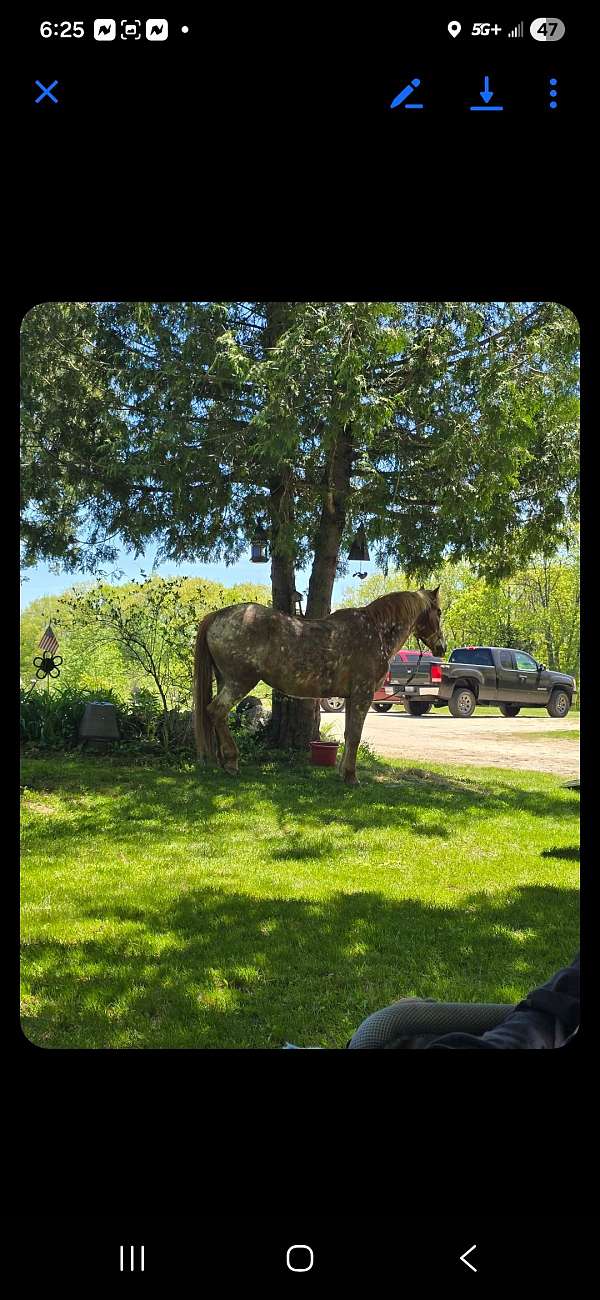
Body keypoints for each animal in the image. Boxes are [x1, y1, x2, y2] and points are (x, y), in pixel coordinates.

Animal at [193, 587, 446, 785]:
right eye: (439, 612)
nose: (442, 647)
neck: (376, 630)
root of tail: (218, 615)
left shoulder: (351, 698)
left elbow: (348, 734)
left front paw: (343, 772)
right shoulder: (362, 695)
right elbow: (355, 735)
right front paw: (351, 777)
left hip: (225, 680)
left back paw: (222, 760)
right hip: (239, 682)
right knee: (216, 711)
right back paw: (231, 762)